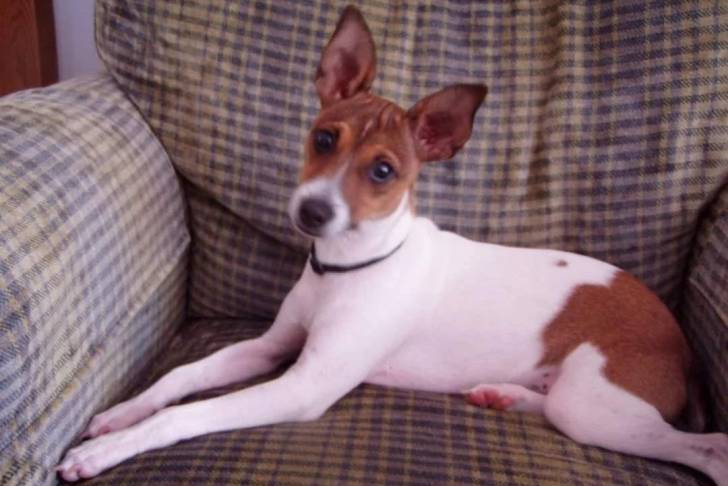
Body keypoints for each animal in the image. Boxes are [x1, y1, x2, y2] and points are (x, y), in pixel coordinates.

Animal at [58, 6, 727, 484]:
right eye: (324, 138)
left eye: (383, 171)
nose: (313, 211)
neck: (347, 268)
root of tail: (681, 344)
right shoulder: (271, 346)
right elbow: (182, 377)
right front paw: (121, 415)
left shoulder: (302, 386)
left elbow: (186, 414)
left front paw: (114, 448)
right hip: (578, 402)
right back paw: (503, 394)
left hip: (596, 403)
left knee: (708, 447)